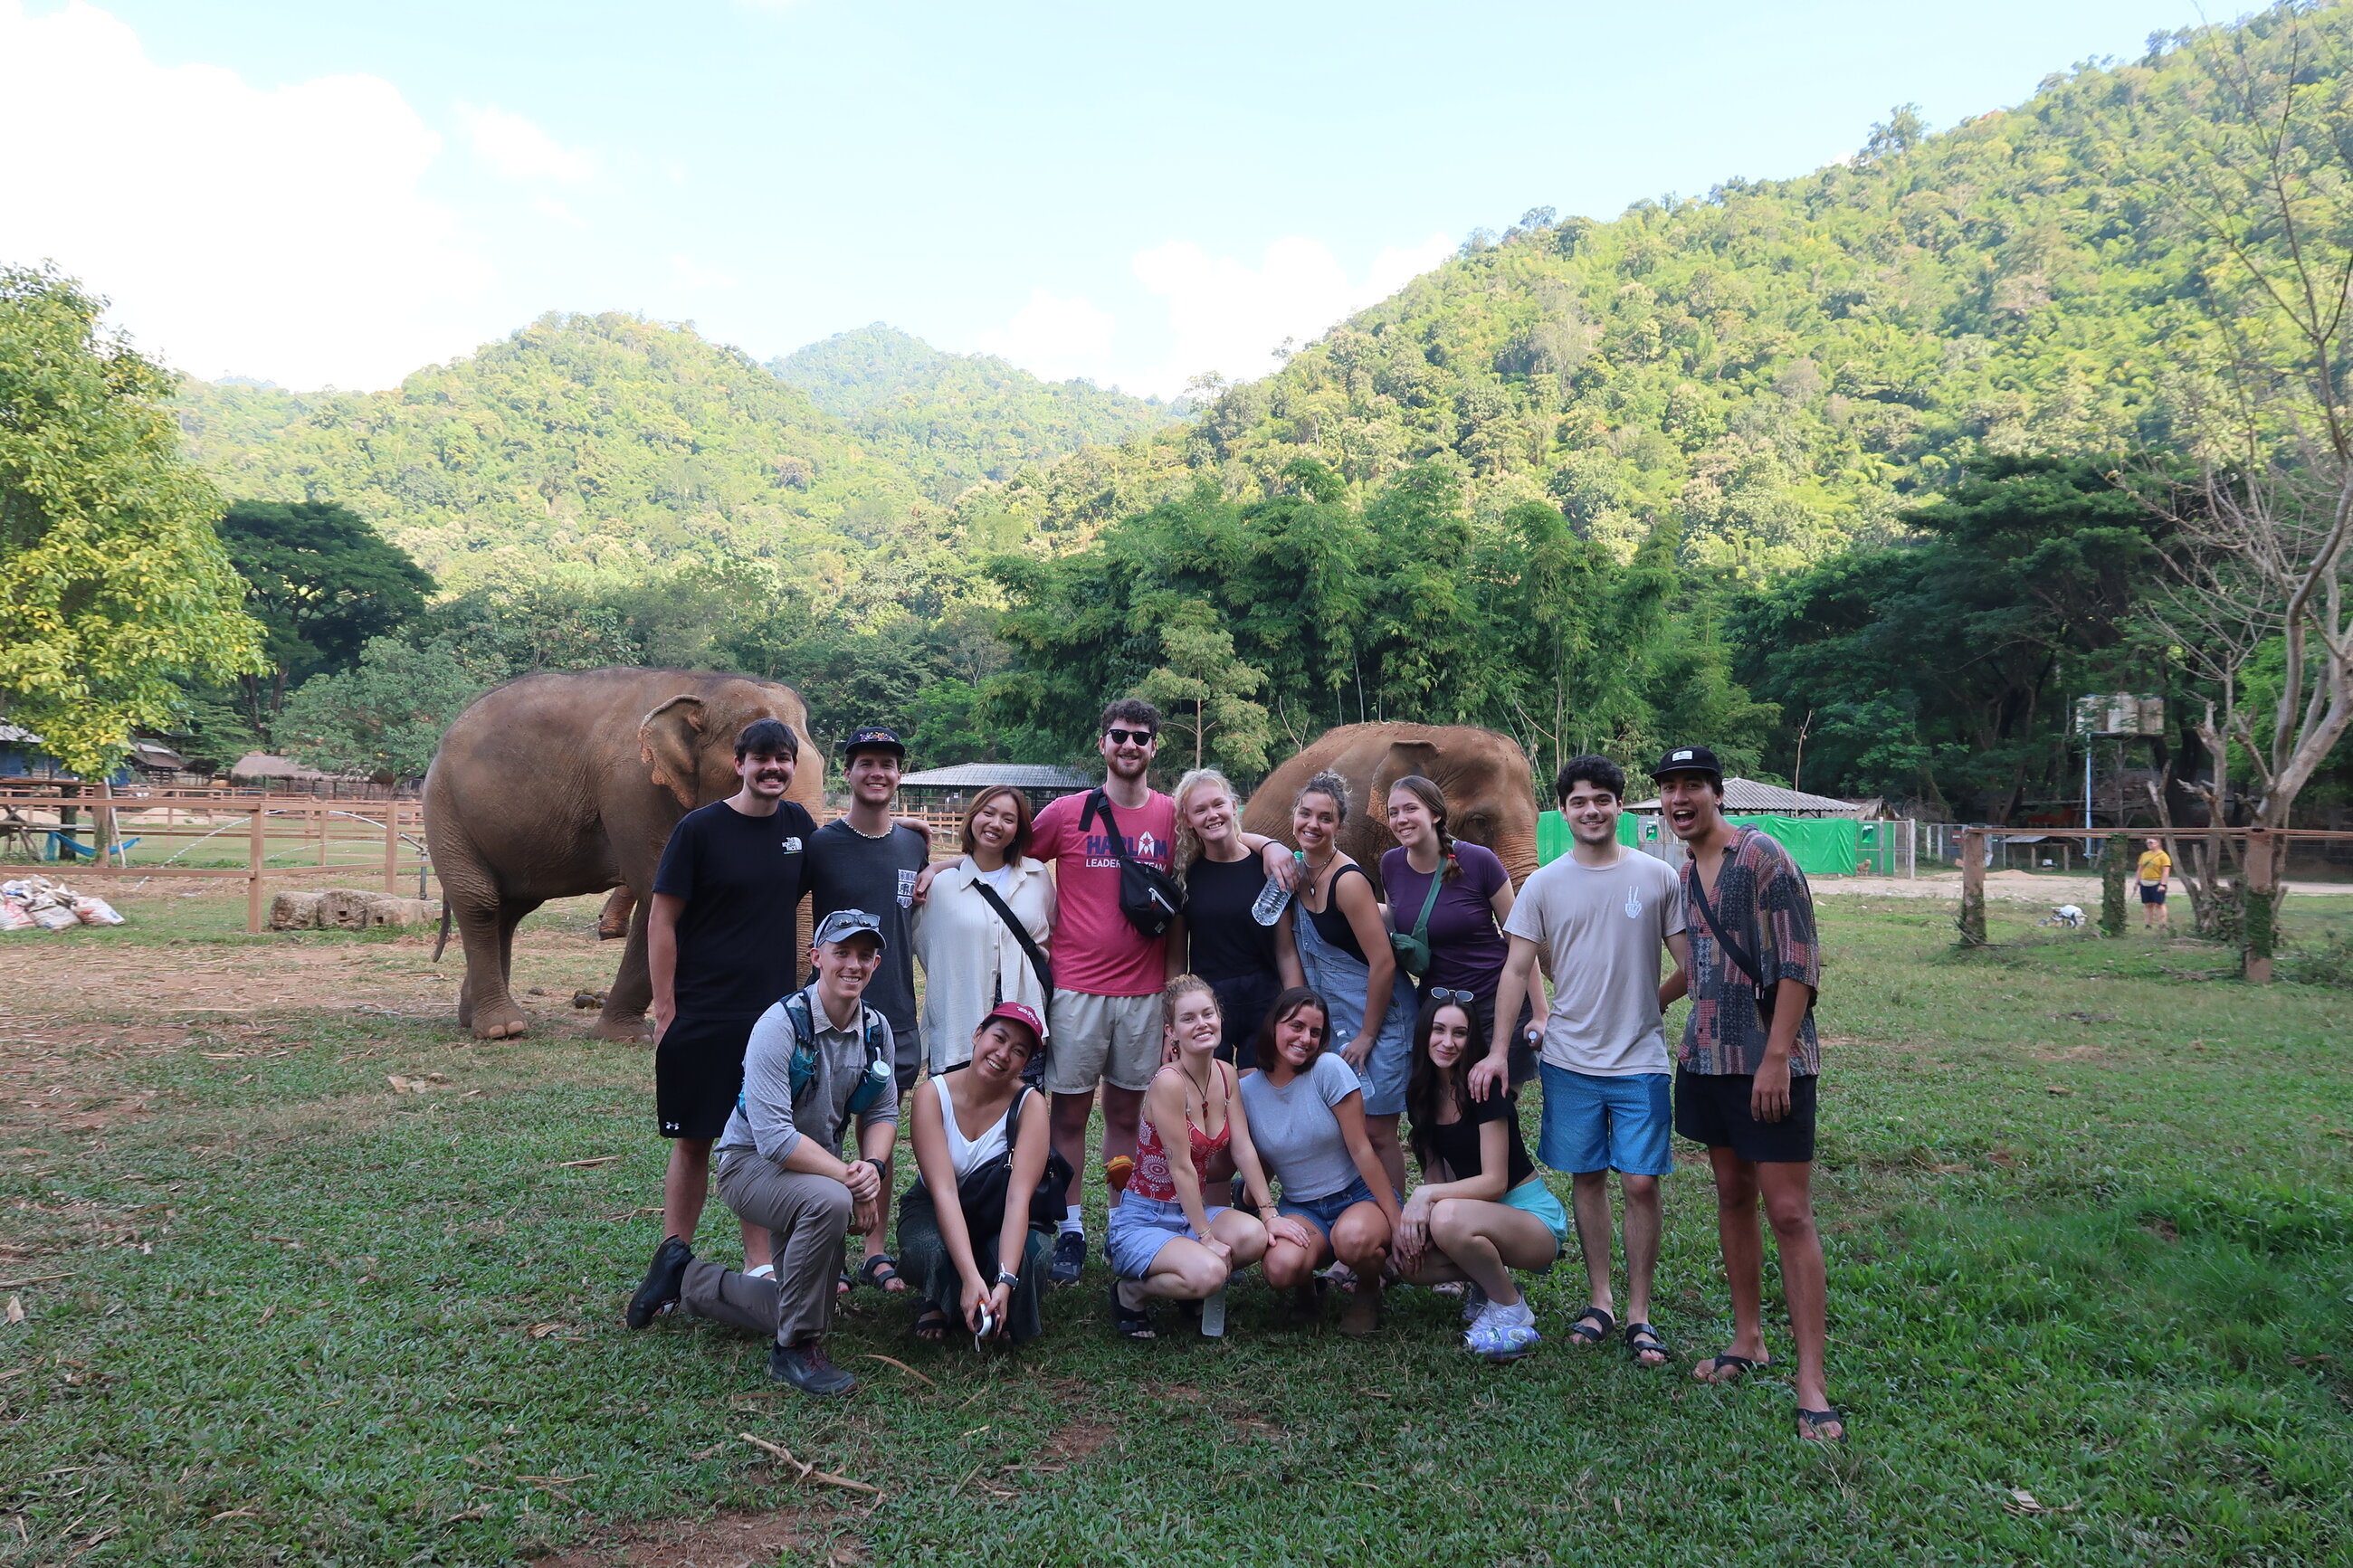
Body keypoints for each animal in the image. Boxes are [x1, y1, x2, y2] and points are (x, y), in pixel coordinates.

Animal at [425, 667, 828, 1043]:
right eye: (754, 767)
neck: (702, 687)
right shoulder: (631, 786)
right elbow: (659, 894)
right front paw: (629, 1037)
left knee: (508, 911)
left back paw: (475, 1018)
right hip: (445, 811)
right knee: (480, 902)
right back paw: (502, 1027)